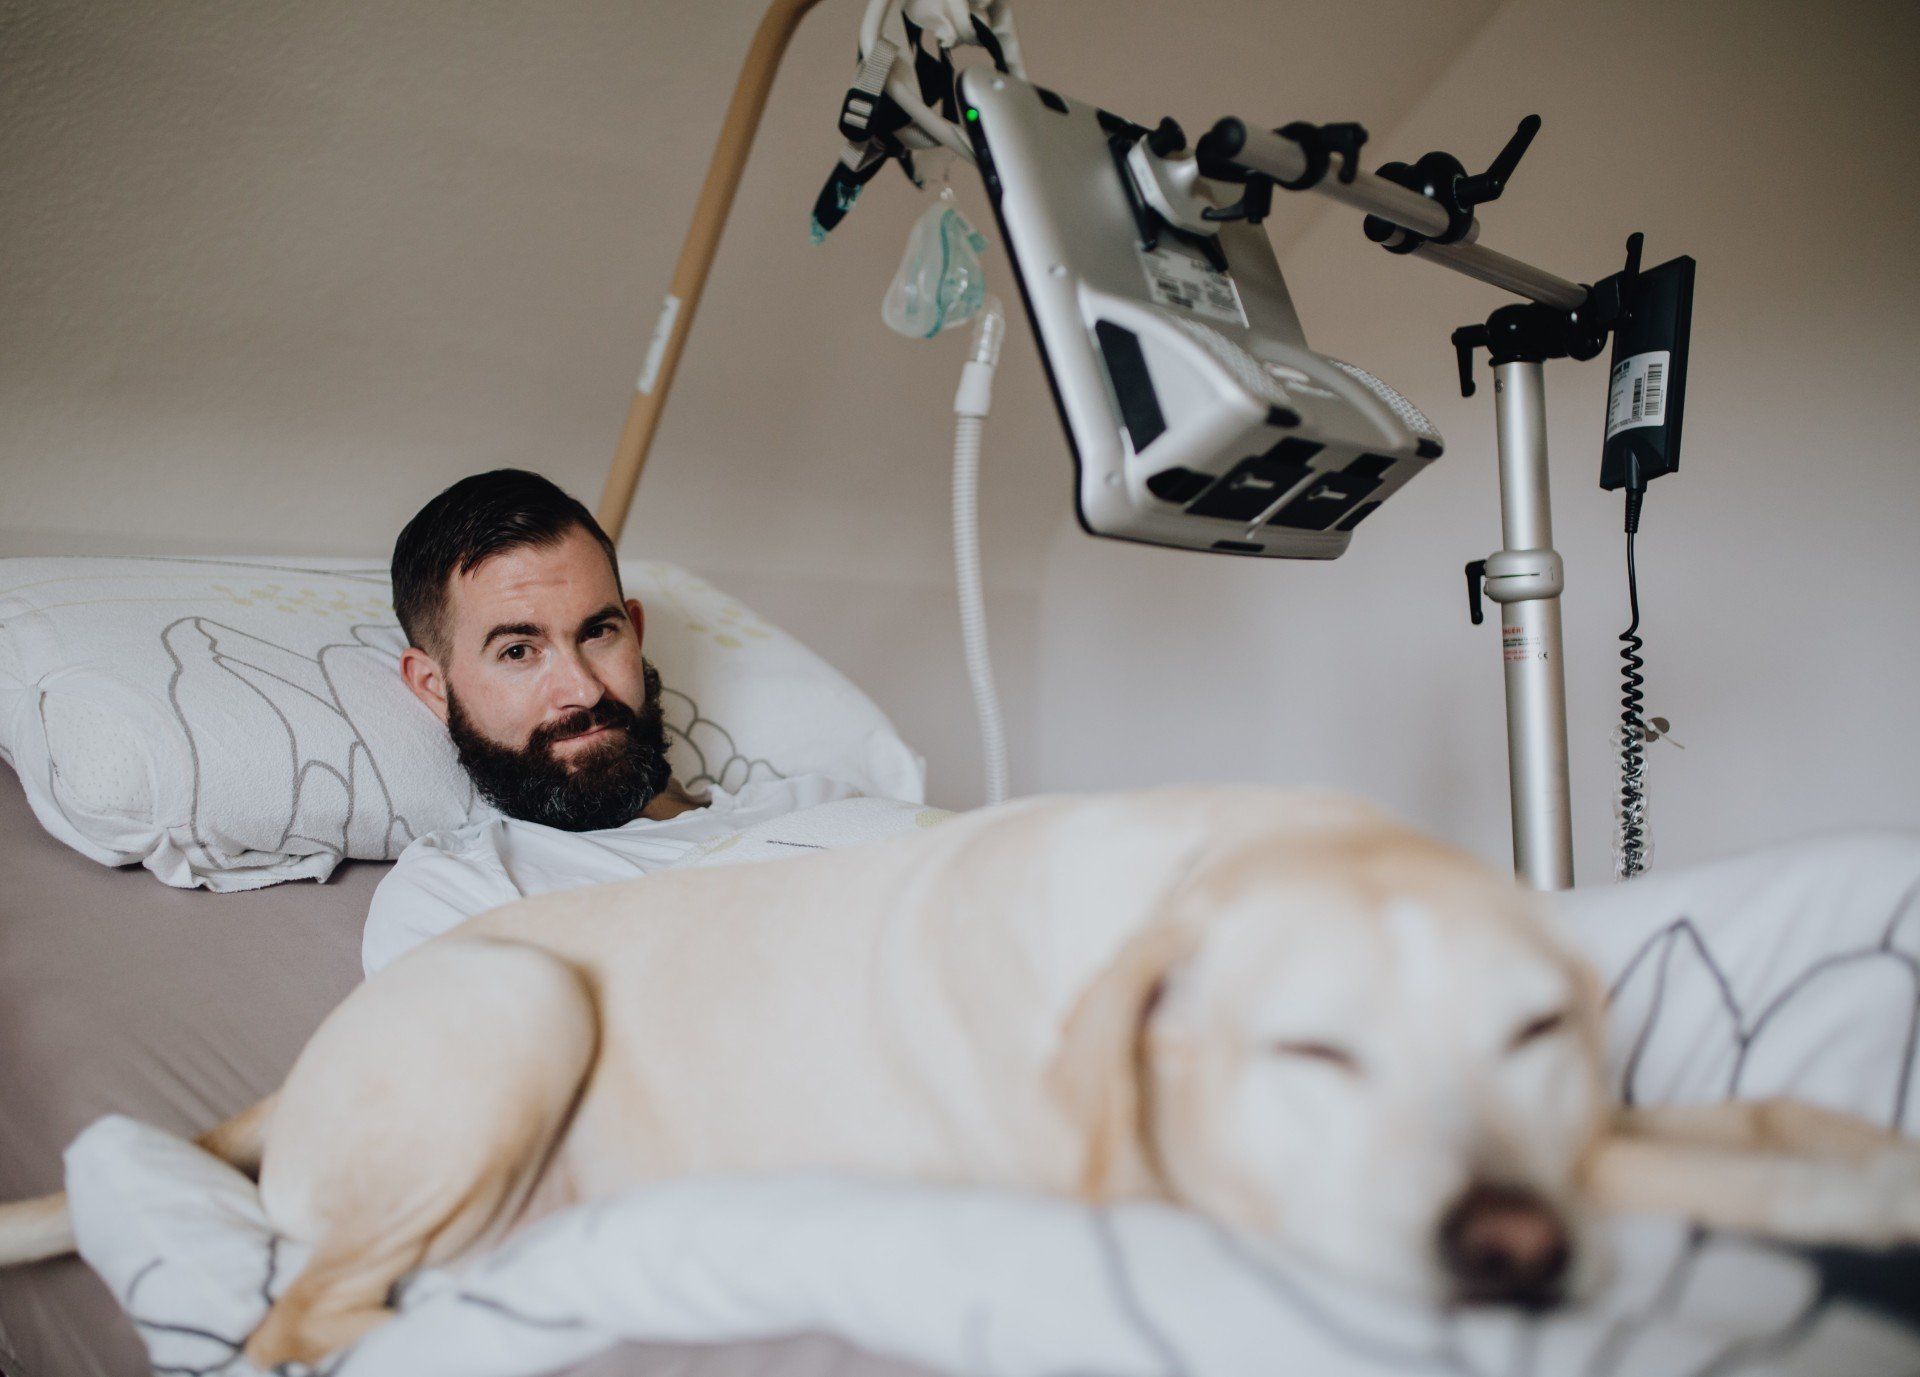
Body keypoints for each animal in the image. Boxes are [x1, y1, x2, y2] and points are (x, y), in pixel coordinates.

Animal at [3, 786, 1916, 1368]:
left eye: (1540, 1031)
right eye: (1313, 1050)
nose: (1507, 1256)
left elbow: (1704, 1122)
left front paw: (1841, 1153)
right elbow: (1647, 1164)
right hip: (522, 1004)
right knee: (294, 1320)